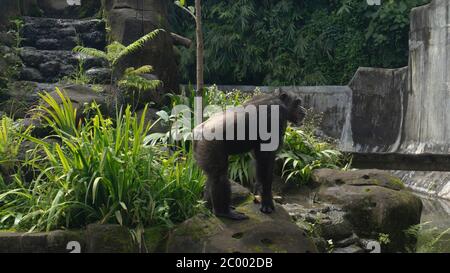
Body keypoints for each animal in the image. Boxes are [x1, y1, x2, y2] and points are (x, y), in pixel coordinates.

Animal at [193, 89, 306, 219]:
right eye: (297, 103)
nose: (303, 110)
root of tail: (196, 132)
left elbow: (259, 160)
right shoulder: (274, 115)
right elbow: (265, 161)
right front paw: (267, 204)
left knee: (211, 176)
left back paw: (209, 208)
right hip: (209, 146)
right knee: (219, 175)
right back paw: (224, 212)